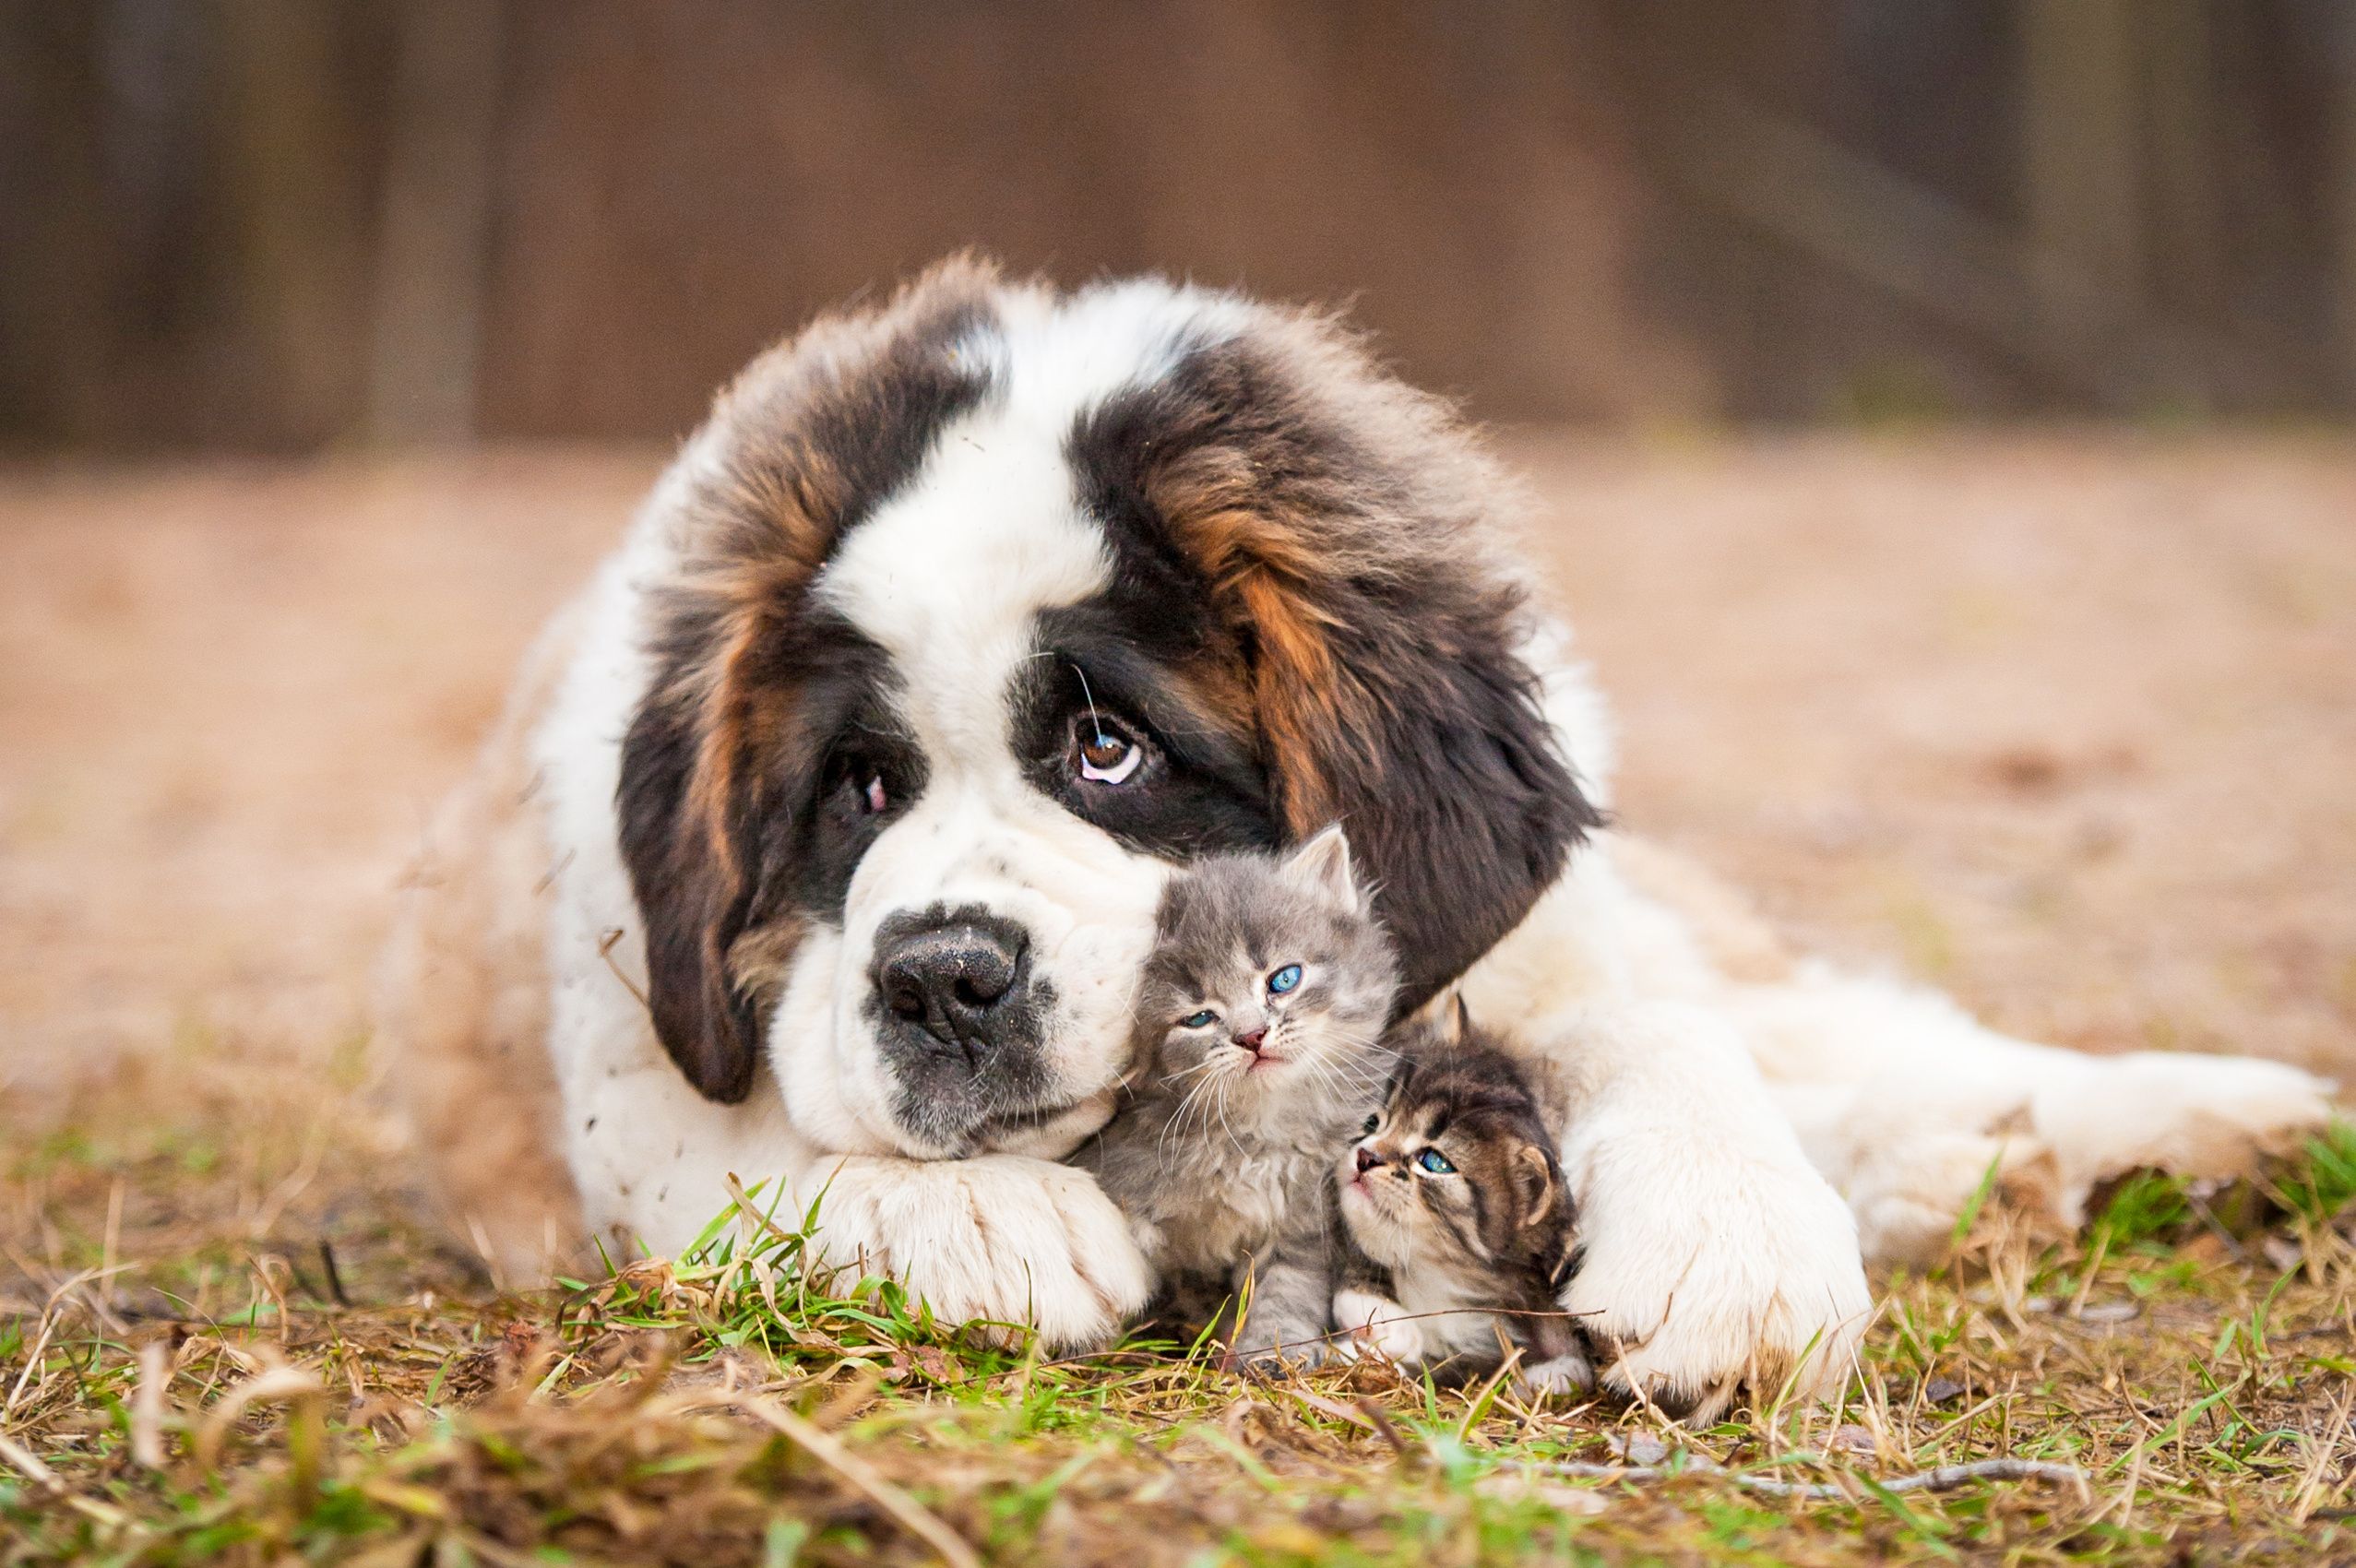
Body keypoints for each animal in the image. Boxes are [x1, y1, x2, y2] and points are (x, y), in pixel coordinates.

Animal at [1078, 824, 1394, 1365]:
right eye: (1199, 1018)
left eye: (1283, 979)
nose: (1251, 1036)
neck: (1254, 1139)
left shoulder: (1304, 1223)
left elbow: (1287, 1291)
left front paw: (1271, 1356)